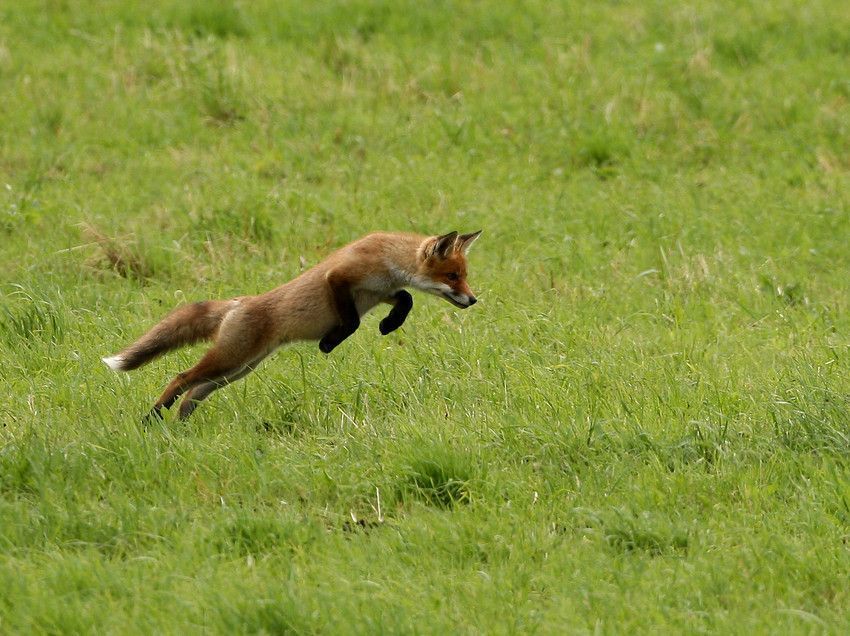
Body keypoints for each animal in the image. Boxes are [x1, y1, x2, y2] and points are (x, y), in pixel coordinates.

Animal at [102, 231, 480, 420]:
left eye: (464, 275)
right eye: (453, 276)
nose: (474, 299)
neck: (388, 257)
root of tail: (240, 302)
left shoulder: (381, 292)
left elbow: (406, 299)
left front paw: (389, 325)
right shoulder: (339, 279)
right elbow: (352, 321)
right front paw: (329, 342)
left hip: (237, 369)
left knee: (193, 393)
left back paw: (179, 426)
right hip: (229, 360)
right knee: (180, 378)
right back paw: (153, 418)